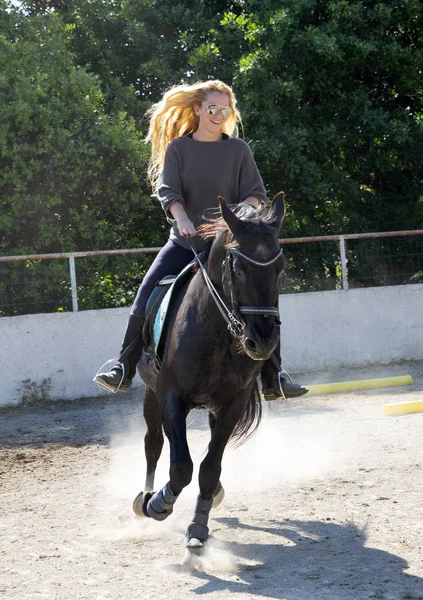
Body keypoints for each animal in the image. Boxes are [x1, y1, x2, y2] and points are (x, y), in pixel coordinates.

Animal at [132, 193, 288, 552]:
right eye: (238, 269)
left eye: (280, 268)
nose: (263, 340)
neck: (219, 333)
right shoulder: (170, 396)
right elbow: (180, 466)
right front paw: (158, 503)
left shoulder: (233, 403)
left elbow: (209, 467)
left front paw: (198, 527)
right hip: (150, 394)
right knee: (153, 443)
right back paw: (145, 496)